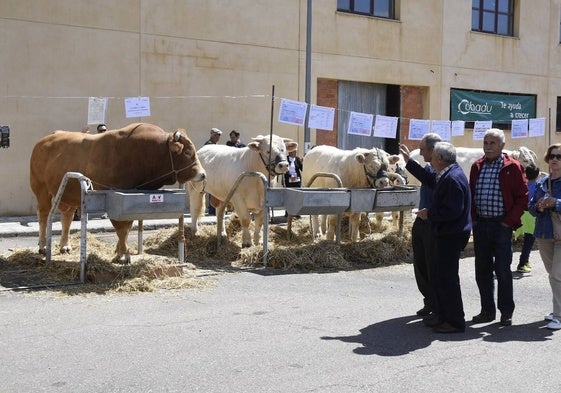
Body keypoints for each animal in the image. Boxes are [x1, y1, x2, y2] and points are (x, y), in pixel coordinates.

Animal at [29, 121, 205, 260]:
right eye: (187, 152)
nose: (203, 174)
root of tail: (44, 140)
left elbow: (126, 228)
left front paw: (120, 250)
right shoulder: (113, 200)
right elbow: (121, 228)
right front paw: (123, 254)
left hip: (69, 194)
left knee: (67, 216)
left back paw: (64, 245)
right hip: (41, 190)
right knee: (43, 215)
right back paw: (43, 246)